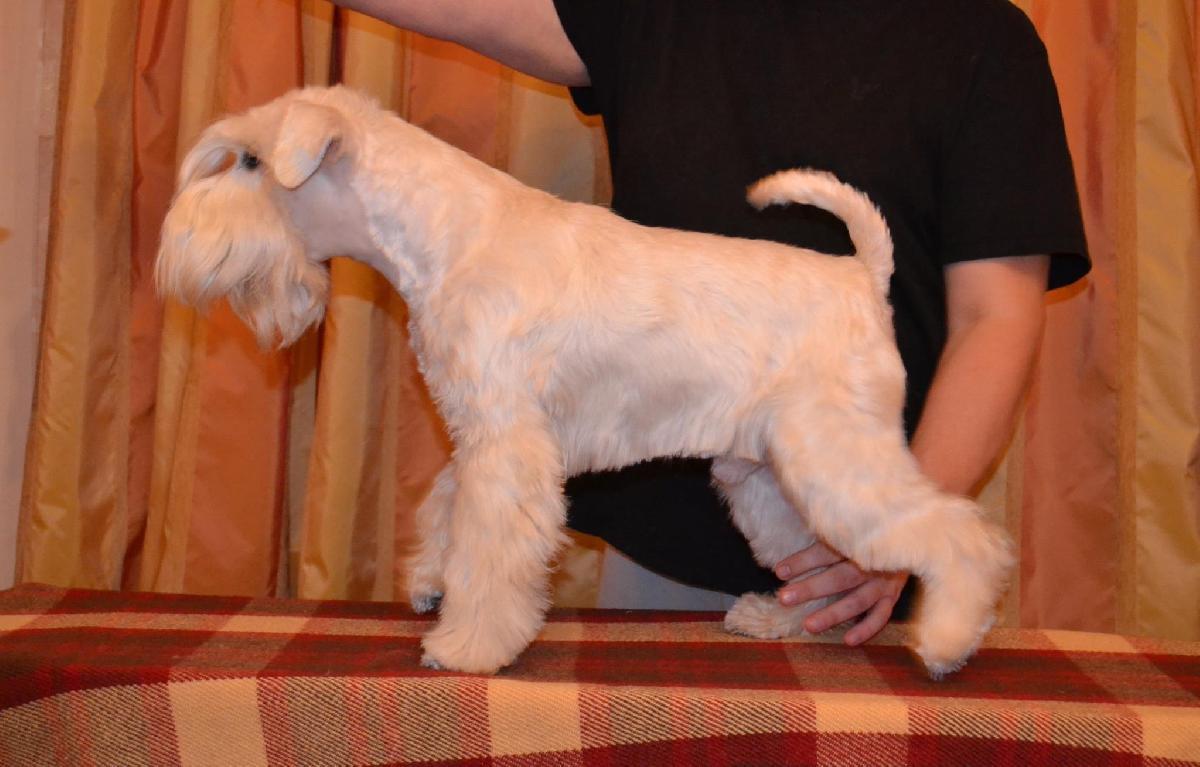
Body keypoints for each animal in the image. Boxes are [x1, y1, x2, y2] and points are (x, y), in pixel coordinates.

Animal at [157, 85, 1012, 678]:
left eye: (252, 161)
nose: (177, 245)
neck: (448, 237)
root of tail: (862, 276)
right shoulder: (482, 432)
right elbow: (447, 508)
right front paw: (431, 581)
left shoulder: (508, 443)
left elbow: (488, 546)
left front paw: (467, 643)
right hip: (769, 476)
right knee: (828, 562)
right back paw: (781, 621)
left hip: (836, 457)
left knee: (955, 534)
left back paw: (945, 639)